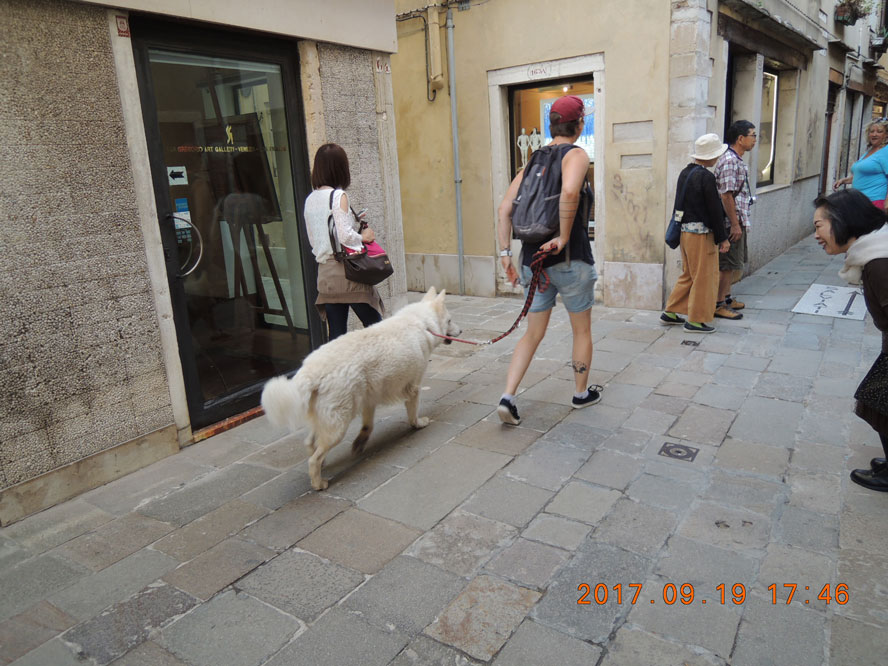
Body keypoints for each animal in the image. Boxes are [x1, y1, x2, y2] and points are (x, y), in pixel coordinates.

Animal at [261, 287, 461, 490]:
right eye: (450, 320)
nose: (461, 330)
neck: (421, 322)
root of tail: (310, 371)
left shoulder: (369, 398)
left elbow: (368, 425)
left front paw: (360, 443)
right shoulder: (413, 388)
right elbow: (413, 413)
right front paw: (418, 424)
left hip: (327, 418)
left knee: (310, 443)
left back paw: (322, 464)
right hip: (338, 425)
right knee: (313, 458)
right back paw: (319, 483)